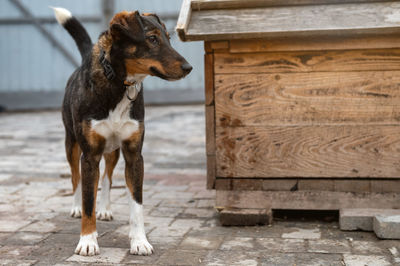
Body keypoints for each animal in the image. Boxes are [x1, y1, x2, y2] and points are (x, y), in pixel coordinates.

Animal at [51, 7, 192, 256]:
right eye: (152, 39)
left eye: (169, 38)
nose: (188, 68)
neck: (120, 83)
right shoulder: (89, 155)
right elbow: (88, 199)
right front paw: (87, 240)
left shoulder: (134, 155)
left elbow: (136, 203)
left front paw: (139, 241)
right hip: (72, 145)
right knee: (76, 177)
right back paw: (76, 207)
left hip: (113, 151)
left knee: (106, 178)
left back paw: (105, 209)